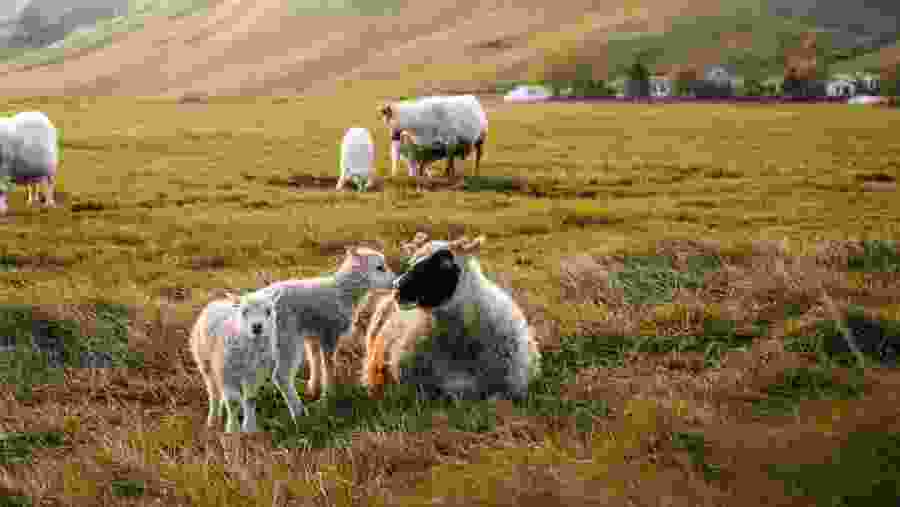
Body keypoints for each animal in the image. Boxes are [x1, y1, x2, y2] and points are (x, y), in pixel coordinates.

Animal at [189, 290, 281, 433]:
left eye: (268, 311)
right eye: (244, 312)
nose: (257, 327)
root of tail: (218, 301)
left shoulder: (255, 373)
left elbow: (250, 399)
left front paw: (249, 428)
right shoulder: (227, 372)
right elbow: (232, 402)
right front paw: (232, 430)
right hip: (205, 361)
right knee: (214, 392)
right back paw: (212, 420)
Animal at [252, 246, 396, 424]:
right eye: (379, 267)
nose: (395, 282)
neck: (343, 292)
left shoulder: (312, 335)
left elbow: (315, 360)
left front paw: (314, 388)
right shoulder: (329, 333)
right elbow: (328, 363)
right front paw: (330, 394)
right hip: (287, 339)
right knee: (281, 376)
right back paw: (299, 413)